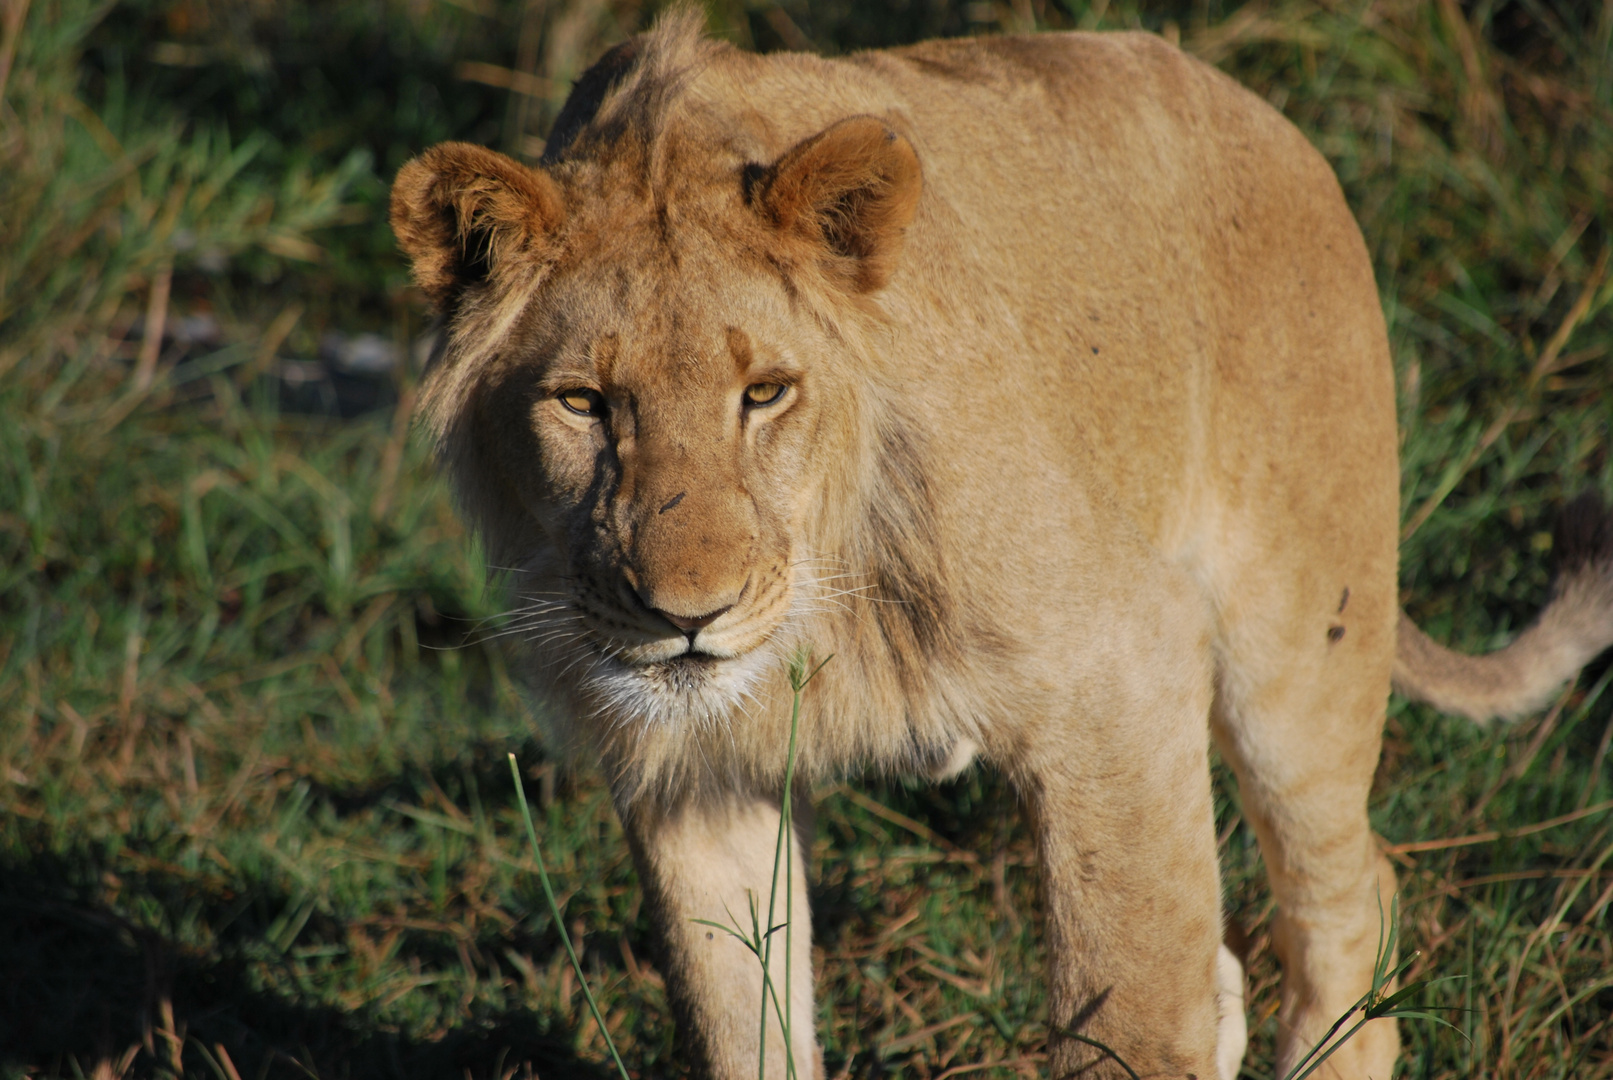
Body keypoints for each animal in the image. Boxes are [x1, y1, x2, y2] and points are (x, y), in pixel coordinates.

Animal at [390, 14, 1613, 1080]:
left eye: (765, 392)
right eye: (583, 403)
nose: (688, 615)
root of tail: (1276, 126)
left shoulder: (1121, 672)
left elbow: (1131, 1014)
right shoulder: (696, 777)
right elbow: (741, 1029)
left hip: (1301, 648)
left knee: (1348, 894)